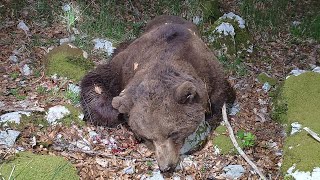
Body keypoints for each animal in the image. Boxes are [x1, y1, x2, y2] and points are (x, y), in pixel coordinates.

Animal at [80, 15, 235, 172]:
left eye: (173, 133)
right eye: (149, 137)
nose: (166, 166)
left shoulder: (210, 74)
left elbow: (217, 101)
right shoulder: (124, 66)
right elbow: (98, 82)